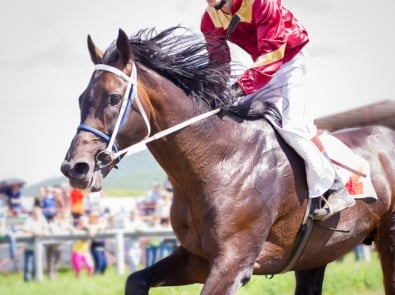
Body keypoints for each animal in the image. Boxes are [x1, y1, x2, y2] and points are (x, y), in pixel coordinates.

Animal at [61, 26, 395, 294]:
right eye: (80, 99)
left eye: (114, 98)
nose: (75, 167)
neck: (218, 161)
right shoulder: (196, 258)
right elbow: (135, 279)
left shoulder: (233, 263)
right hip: (316, 254)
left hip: (388, 238)